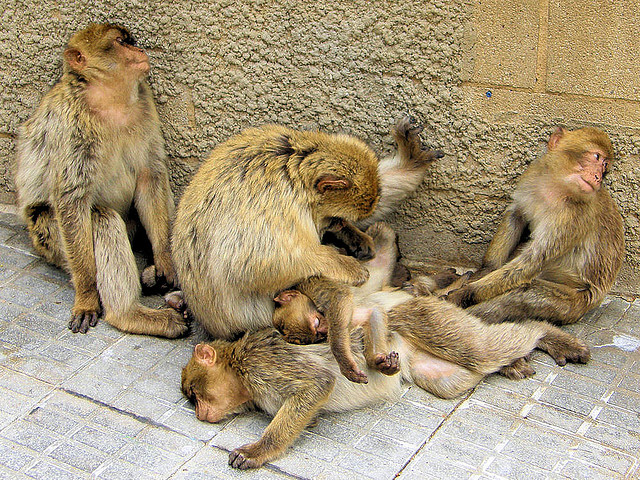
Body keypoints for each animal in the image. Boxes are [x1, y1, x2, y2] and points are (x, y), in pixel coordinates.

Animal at [14, 24, 187, 338]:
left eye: (129, 39)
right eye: (120, 42)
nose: (139, 49)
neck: (111, 100)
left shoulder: (146, 105)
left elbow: (150, 177)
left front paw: (165, 260)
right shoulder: (69, 124)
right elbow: (72, 199)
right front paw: (86, 296)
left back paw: (152, 278)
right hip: (48, 236)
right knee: (100, 219)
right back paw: (130, 315)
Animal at [172, 116, 443, 383]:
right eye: (333, 217)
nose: (336, 226)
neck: (296, 175)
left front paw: (411, 159)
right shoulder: (276, 199)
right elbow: (251, 265)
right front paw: (347, 265)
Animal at [446, 127, 625, 327]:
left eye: (604, 167)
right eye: (596, 157)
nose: (598, 177)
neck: (557, 189)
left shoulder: (574, 218)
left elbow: (533, 260)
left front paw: (466, 293)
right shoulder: (533, 175)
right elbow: (516, 215)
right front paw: (486, 269)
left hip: (575, 302)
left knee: (523, 292)